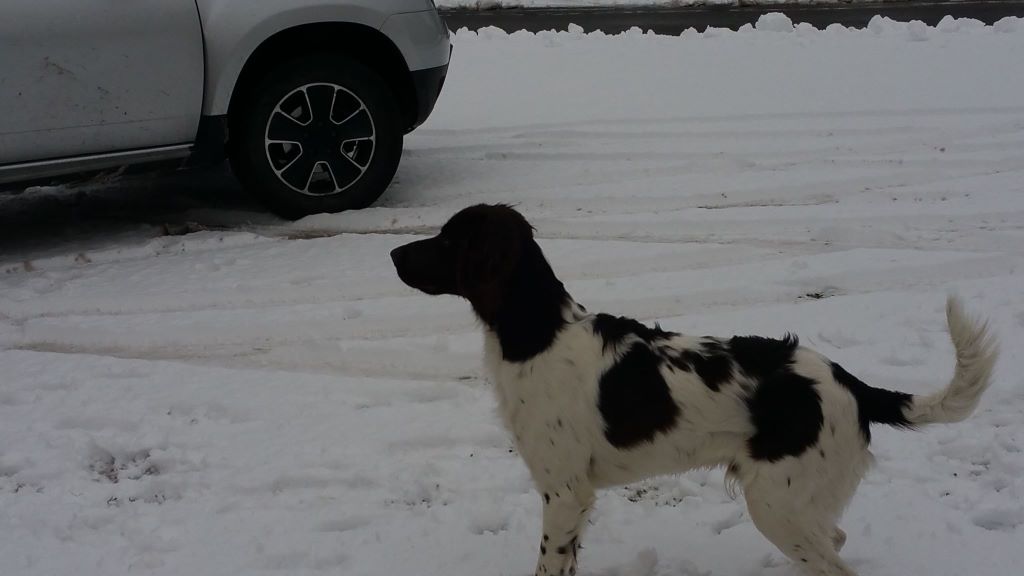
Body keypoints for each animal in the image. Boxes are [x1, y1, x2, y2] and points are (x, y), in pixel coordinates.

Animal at [387, 202, 995, 573]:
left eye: (449, 239)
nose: (392, 253)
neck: (537, 332)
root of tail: (848, 381)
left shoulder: (564, 491)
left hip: (775, 502)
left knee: (834, 562)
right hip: (796, 505)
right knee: (833, 543)